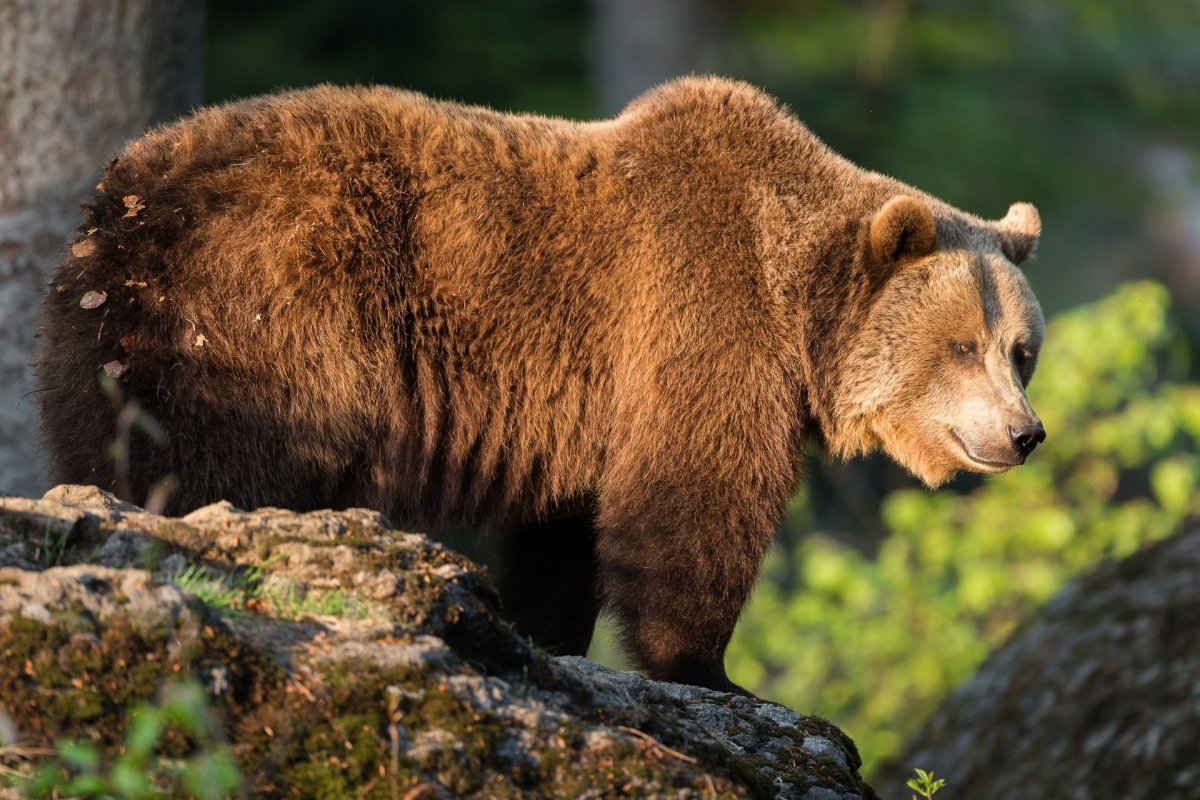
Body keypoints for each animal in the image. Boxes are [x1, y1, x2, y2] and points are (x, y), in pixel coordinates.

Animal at [37, 76, 1045, 694]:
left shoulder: (588, 409)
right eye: (962, 345)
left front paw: (545, 633)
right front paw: (708, 667)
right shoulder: (700, 319)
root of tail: (117, 202)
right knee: (223, 459)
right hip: (265, 306)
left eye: (1022, 349)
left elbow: (566, 536)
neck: (795, 303)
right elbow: (694, 500)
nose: (1024, 432)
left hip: (111, 334)